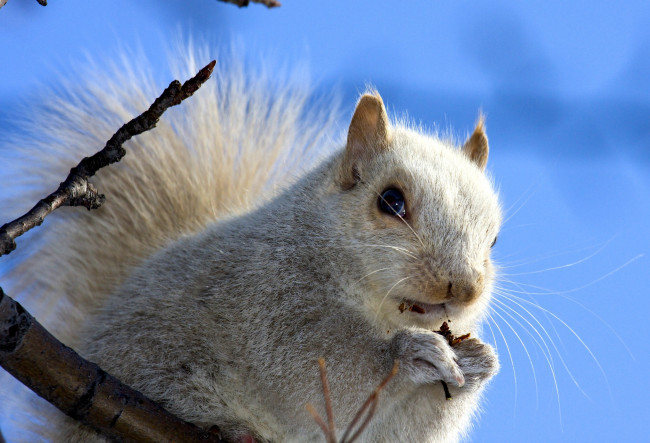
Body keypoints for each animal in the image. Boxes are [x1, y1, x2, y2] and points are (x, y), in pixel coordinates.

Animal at [0, 46, 502, 442]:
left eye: (494, 239)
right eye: (390, 201)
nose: (463, 288)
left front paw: (477, 364)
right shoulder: (263, 297)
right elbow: (308, 370)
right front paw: (409, 353)